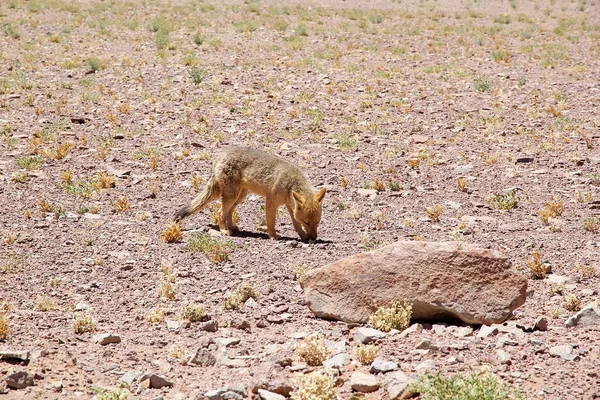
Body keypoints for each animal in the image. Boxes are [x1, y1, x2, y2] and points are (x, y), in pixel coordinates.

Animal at [176, 146, 326, 241]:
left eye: (317, 222)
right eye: (307, 222)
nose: (314, 238)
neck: (290, 184)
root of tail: (220, 156)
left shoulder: (290, 206)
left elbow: (295, 224)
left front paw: (303, 236)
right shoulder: (270, 202)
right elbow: (271, 222)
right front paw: (273, 236)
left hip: (239, 197)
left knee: (229, 212)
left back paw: (231, 227)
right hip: (232, 196)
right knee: (220, 213)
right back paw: (224, 230)